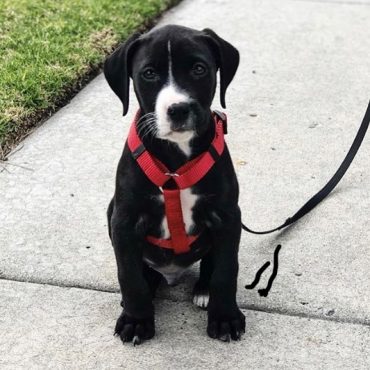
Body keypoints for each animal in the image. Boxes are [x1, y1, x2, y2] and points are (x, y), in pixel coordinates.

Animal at [104, 25, 244, 344]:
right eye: (149, 73)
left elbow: (226, 270)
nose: (178, 109)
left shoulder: (228, 216)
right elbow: (129, 275)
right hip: (110, 210)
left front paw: (225, 317)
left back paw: (204, 289)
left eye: (199, 69)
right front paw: (136, 321)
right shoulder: (124, 220)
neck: (175, 166)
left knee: (212, 263)